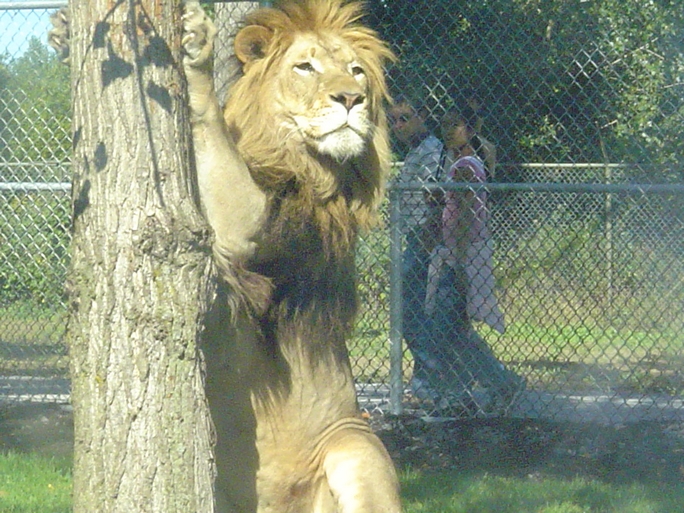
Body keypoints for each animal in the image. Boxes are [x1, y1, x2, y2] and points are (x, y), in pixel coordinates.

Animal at [52, 2, 400, 510]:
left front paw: (198, 47)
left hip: (356, 446)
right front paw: (63, 34)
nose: (351, 98)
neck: (301, 160)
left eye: (356, 71)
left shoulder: (253, 231)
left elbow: (214, 133)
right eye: (305, 67)